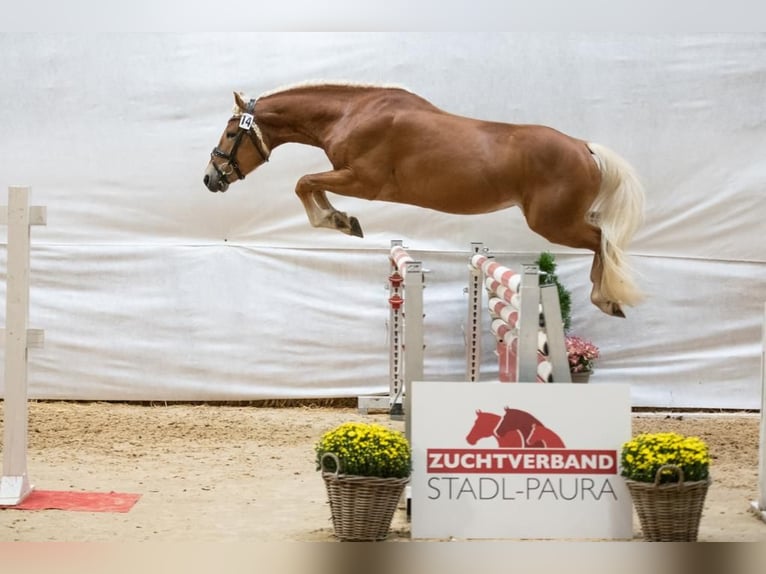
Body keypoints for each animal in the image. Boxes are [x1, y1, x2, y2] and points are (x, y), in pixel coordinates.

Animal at [204, 81, 648, 318]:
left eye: (231, 132)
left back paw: (605, 298)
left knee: (603, 241)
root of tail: (584, 147)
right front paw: (342, 220)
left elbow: (303, 183)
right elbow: (309, 184)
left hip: (553, 223)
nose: (210, 179)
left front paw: (341, 222)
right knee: (602, 238)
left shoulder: (363, 181)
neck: (352, 114)